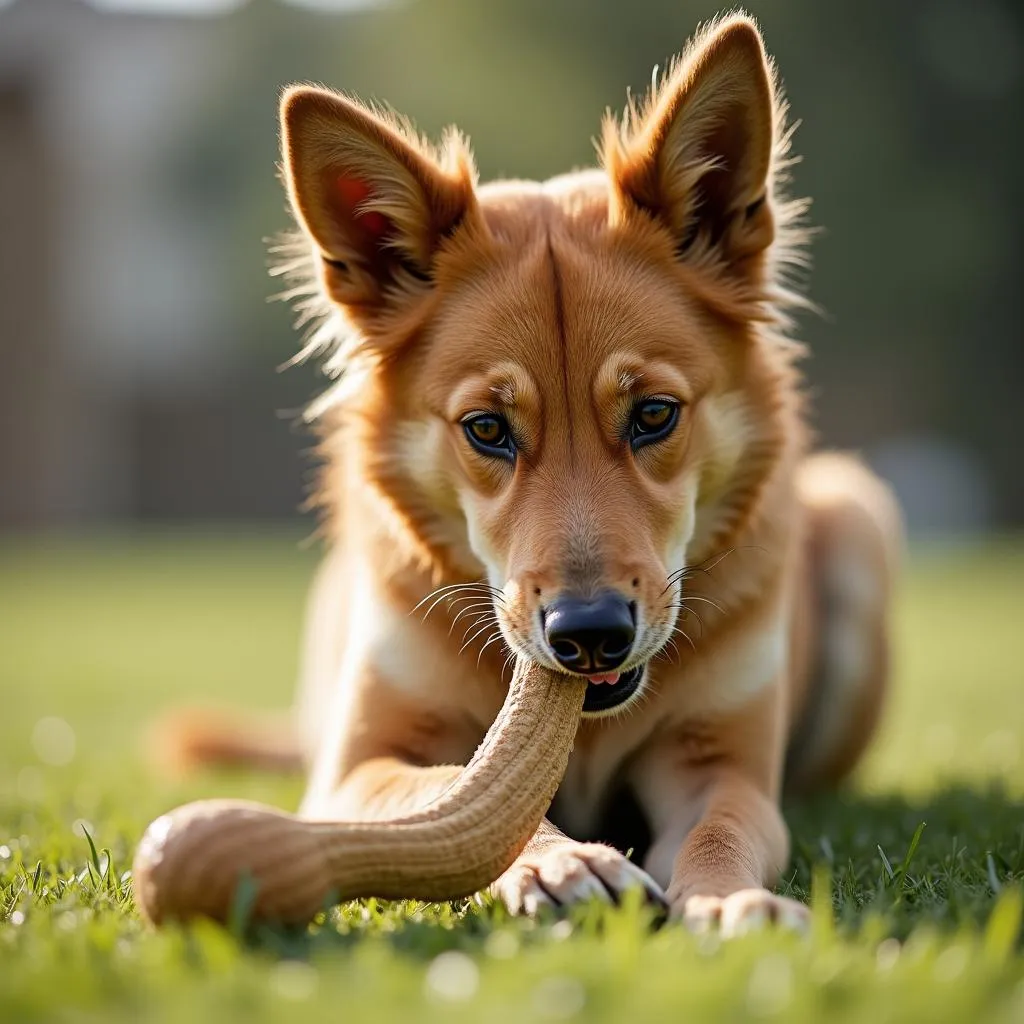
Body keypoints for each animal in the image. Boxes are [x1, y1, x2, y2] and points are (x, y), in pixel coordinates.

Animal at [165, 12, 897, 937]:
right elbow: (457, 797)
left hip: (859, 519)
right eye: (488, 428)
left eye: (654, 414)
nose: (590, 634)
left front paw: (731, 903)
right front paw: (557, 862)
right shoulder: (360, 765)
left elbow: (722, 830)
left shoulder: (719, 766)